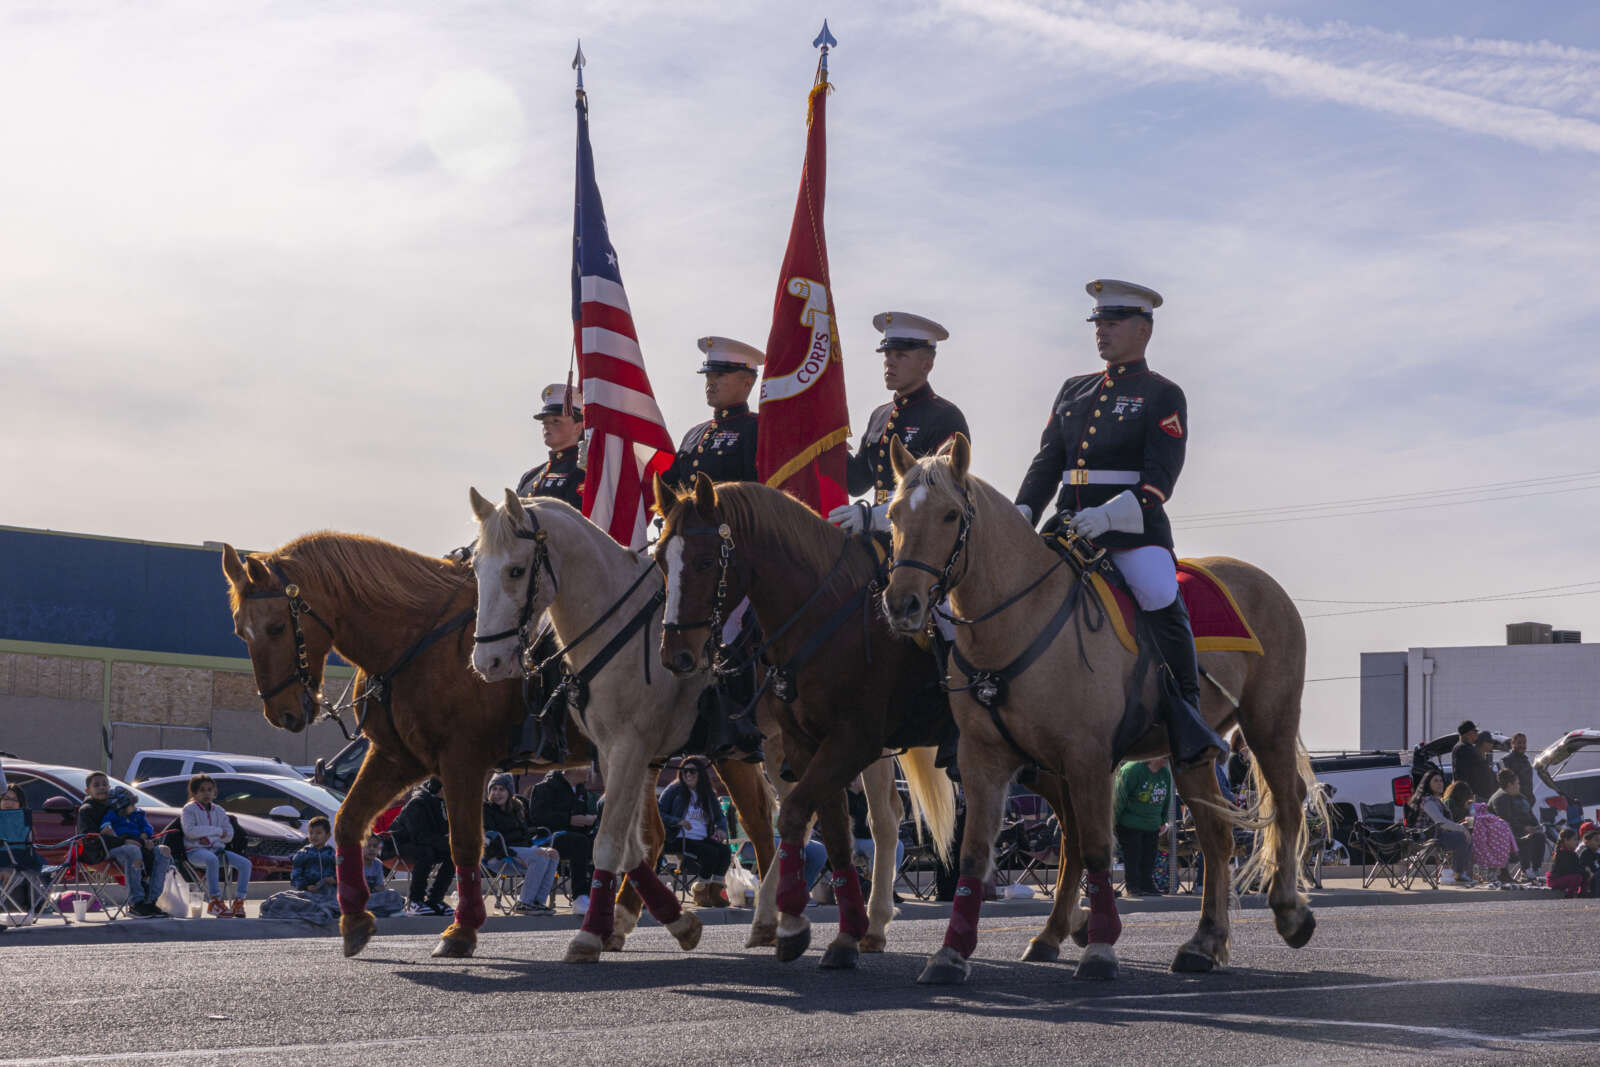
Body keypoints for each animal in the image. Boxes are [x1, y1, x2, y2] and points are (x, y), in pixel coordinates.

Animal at [222, 534, 777, 959]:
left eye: (276, 626)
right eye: (240, 631)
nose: (285, 713)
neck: (421, 639)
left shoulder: (463, 760)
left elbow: (464, 842)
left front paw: (461, 929)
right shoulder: (399, 758)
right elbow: (347, 821)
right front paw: (356, 919)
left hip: (725, 753)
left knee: (756, 826)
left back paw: (767, 919)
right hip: (642, 758)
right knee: (653, 838)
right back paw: (629, 922)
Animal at [652, 473, 953, 966]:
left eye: (704, 561)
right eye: (661, 559)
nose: (677, 655)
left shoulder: (838, 739)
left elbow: (773, 820)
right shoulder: (791, 742)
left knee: (884, 817)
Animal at [883, 438, 1318, 991]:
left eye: (950, 515)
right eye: (893, 514)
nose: (902, 604)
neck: (1018, 621)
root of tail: (1265, 584)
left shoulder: (1086, 758)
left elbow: (1094, 846)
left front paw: (1100, 946)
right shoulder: (986, 761)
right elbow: (976, 853)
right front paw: (951, 952)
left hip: (1270, 723)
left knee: (1288, 802)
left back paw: (1289, 911)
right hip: (1191, 752)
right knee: (1216, 838)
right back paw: (1203, 942)